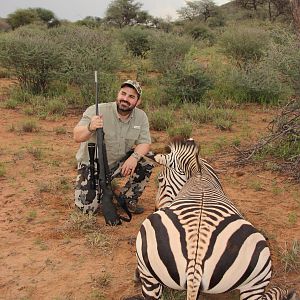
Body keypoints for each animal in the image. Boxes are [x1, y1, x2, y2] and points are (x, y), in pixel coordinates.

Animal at [124, 139, 298, 300]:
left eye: (160, 180)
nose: (156, 208)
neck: (198, 173)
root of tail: (195, 259)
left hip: (149, 275)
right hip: (258, 275)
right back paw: (289, 293)